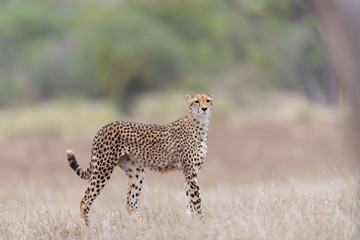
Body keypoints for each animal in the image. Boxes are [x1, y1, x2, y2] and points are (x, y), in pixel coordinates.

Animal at [67, 93, 214, 226]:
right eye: (196, 101)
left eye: (208, 100)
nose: (204, 109)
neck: (200, 125)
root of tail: (104, 127)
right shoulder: (190, 172)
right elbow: (196, 201)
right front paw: (203, 225)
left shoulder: (190, 172)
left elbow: (190, 202)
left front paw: (192, 224)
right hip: (103, 169)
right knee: (85, 200)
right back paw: (88, 230)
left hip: (136, 171)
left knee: (130, 203)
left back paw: (144, 228)